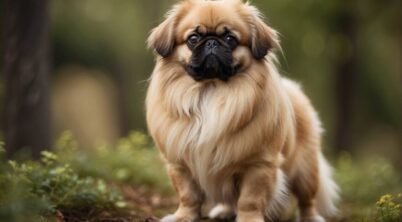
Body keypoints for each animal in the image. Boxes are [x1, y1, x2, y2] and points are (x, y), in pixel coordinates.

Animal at [145, 0, 340, 221]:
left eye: (230, 39)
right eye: (193, 39)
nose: (211, 43)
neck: (211, 90)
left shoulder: (258, 165)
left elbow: (250, 200)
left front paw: (249, 218)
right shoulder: (180, 165)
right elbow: (188, 196)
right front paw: (183, 216)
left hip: (305, 170)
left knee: (307, 200)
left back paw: (310, 217)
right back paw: (224, 211)